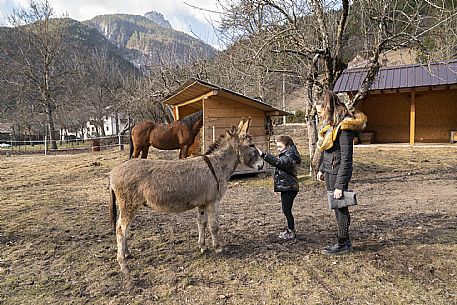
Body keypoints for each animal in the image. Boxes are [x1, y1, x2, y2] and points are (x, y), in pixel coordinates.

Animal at [108, 117, 262, 272]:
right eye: (252, 145)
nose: (261, 165)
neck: (216, 165)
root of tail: (113, 172)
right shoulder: (213, 201)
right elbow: (214, 225)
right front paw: (218, 248)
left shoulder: (203, 202)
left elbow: (202, 222)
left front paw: (203, 247)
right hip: (129, 204)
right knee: (121, 229)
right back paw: (123, 264)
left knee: (123, 228)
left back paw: (127, 253)